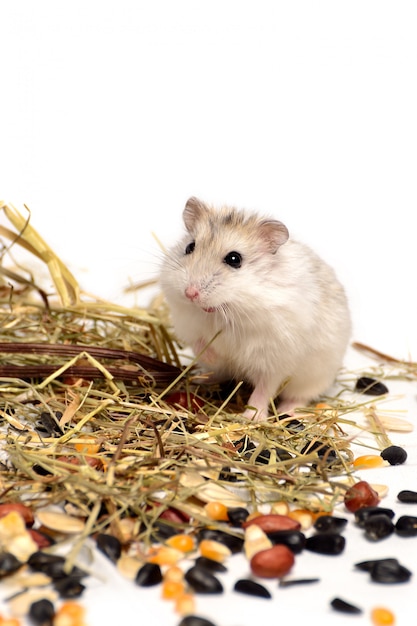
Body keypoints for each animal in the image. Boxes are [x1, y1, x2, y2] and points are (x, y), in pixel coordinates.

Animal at [159, 195, 352, 420]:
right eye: (189, 247)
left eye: (234, 259)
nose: (190, 293)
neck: (227, 309)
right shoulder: (191, 326)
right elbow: (201, 344)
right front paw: (213, 356)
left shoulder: (273, 360)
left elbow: (264, 390)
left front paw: (251, 417)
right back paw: (201, 378)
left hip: (313, 377)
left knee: (299, 396)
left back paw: (287, 411)